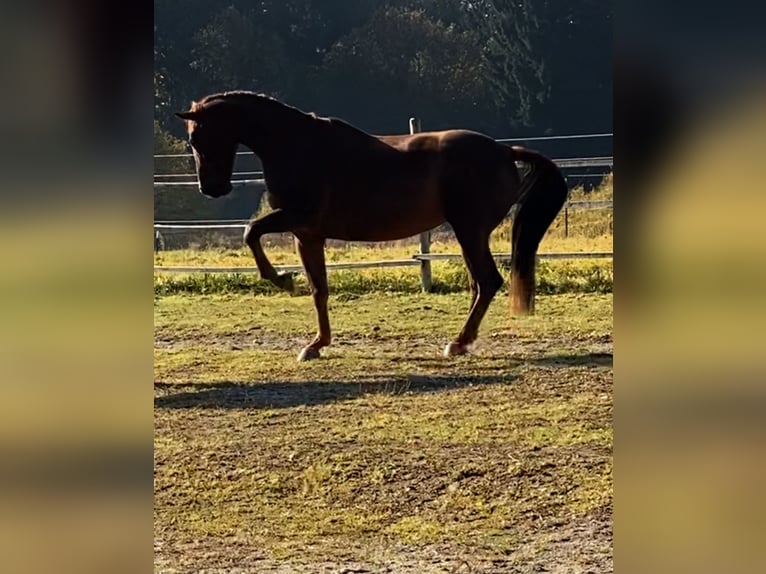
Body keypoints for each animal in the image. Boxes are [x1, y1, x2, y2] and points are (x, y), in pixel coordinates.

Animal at [176, 91, 568, 362]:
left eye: (197, 138)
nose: (211, 189)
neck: (297, 146)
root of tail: (504, 151)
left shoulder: (296, 219)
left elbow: (251, 232)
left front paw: (281, 279)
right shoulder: (307, 235)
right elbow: (319, 290)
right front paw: (316, 344)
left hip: (469, 231)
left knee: (487, 282)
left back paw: (458, 343)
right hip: (469, 234)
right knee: (479, 285)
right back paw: (462, 341)